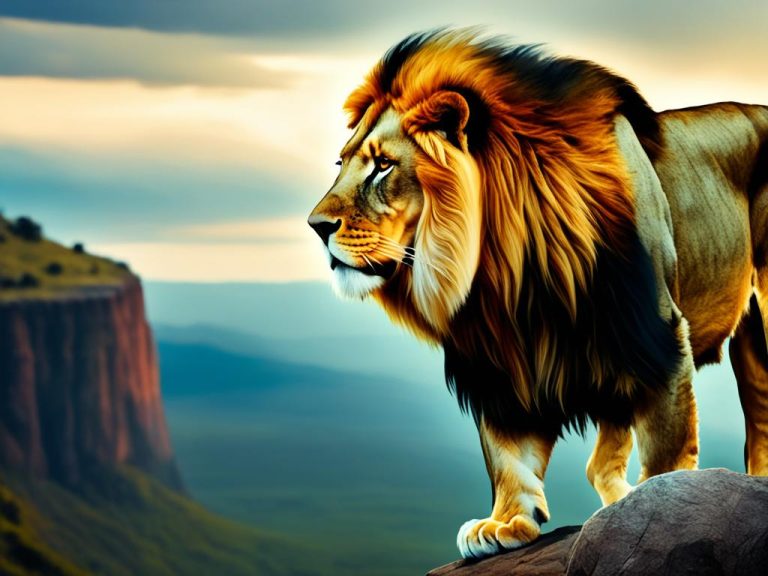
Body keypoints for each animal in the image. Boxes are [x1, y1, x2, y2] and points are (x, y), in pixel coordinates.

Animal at [308, 29, 768, 559]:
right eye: (342, 163)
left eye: (383, 166)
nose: (316, 226)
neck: (506, 272)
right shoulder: (499, 360)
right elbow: (508, 452)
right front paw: (505, 521)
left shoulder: (657, 335)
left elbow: (666, 445)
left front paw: (660, 507)